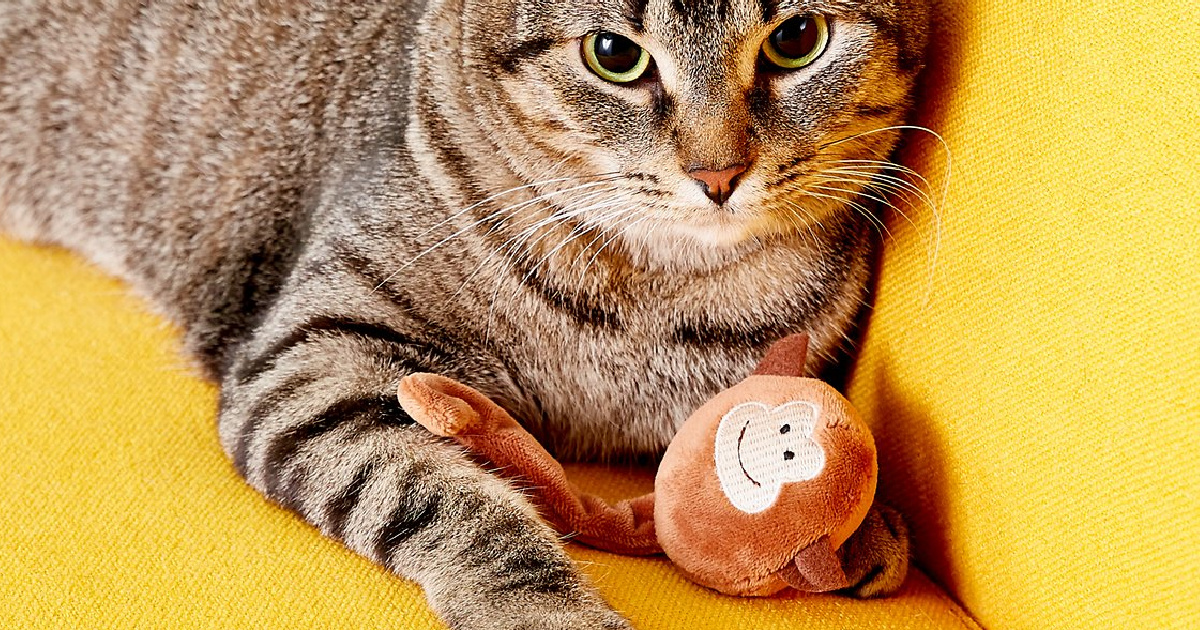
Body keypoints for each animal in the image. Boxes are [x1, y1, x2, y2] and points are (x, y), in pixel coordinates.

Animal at [0, 0, 926, 624]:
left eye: (796, 39)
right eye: (615, 56)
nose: (718, 173)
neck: (665, 289)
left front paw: (852, 529)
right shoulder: (314, 354)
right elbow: (447, 501)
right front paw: (546, 610)